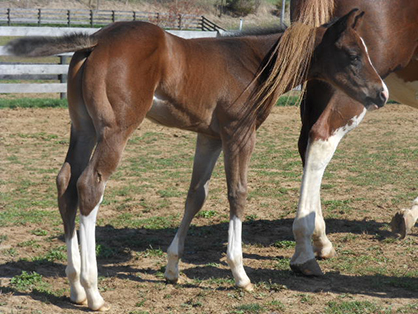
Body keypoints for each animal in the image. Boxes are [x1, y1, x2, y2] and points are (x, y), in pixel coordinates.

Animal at [5, 9, 386, 310]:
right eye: (353, 54)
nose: (381, 94)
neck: (253, 65)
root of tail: (95, 40)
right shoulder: (239, 133)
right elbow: (237, 194)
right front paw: (239, 273)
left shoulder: (210, 137)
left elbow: (195, 195)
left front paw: (173, 267)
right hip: (114, 131)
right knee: (89, 186)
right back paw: (93, 291)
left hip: (82, 128)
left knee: (66, 185)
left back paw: (74, 287)